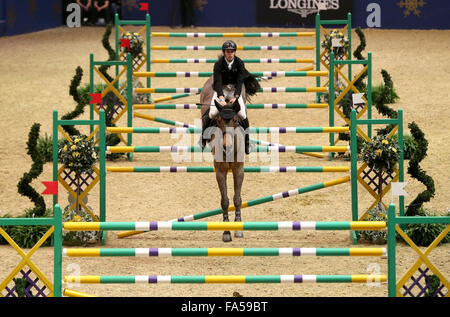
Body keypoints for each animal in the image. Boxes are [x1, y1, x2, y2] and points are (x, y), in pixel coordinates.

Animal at [200, 76, 246, 242]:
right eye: (218, 121)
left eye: (235, 121)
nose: (227, 145)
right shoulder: (220, 171)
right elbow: (225, 200)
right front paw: (226, 231)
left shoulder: (238, 170)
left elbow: (237, 198)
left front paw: (238, 228)